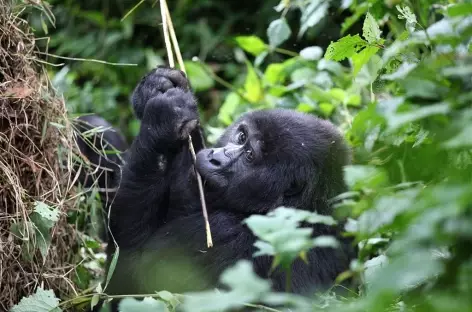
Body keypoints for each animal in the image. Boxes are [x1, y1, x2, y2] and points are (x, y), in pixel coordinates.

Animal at [104, 67, 354, 308]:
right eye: (241, 136)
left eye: (250, 155)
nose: (215, 158)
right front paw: (158, 84)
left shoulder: (225, 232)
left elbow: (130, 283)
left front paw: (162, 123)